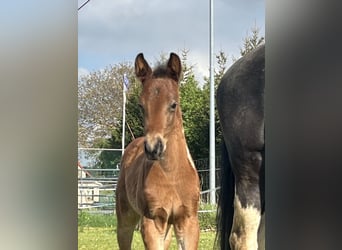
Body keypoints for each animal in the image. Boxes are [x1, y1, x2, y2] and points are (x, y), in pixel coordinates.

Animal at [115, 52, 200, 248]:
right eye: (141, 106)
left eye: (173, 104)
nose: (153, 148)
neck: (173, 176)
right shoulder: (152, 221)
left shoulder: (189, 221)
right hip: (125, 218)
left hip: (168, 225)